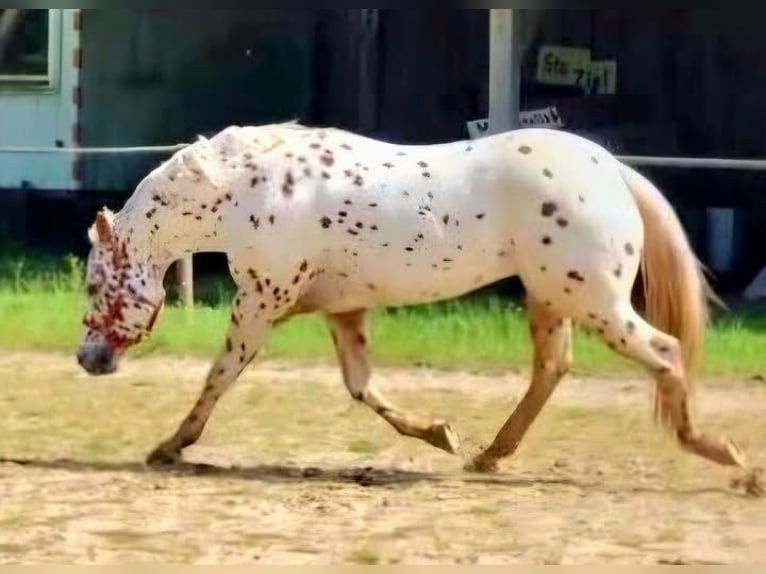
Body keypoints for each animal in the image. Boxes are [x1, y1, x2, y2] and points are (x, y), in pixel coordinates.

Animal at [75, 121, 760, 494]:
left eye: (93, 286)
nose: (87, 360)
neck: (253, 190)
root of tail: (612, 170)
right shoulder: (342, 311)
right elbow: (362, 388)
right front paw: (440, 434)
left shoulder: (261, 303)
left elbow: (219, 378)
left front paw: (170, 446)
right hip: (552, 297)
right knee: (552, 368)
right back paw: (488, 455)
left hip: (592, 298)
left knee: (665, 352)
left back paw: (730, 460)